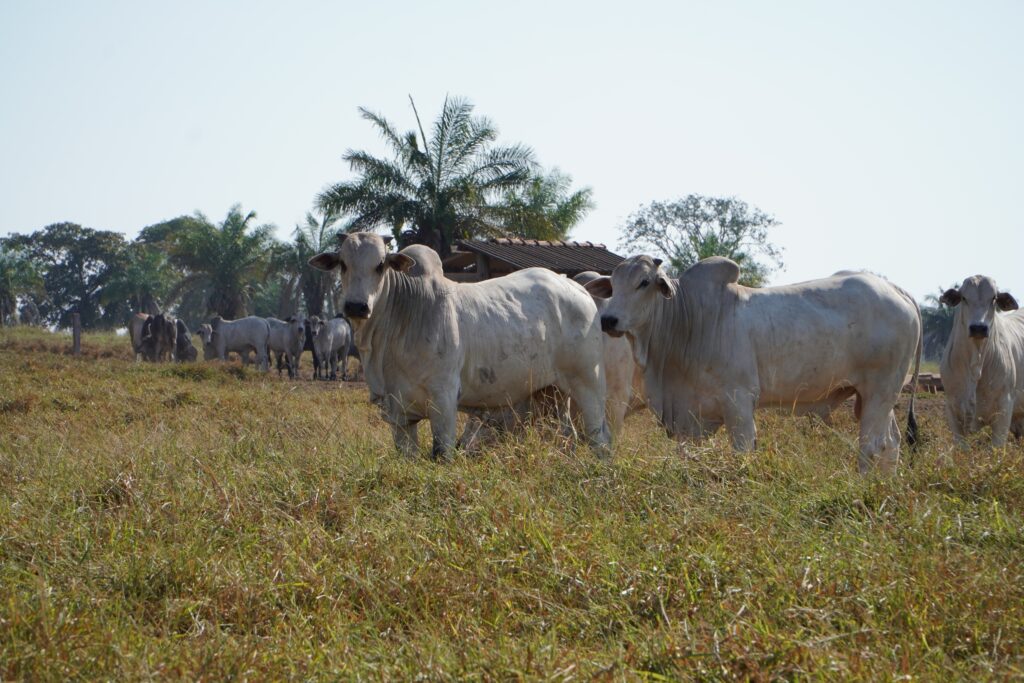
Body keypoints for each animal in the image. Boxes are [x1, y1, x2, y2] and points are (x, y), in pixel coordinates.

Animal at [307, 232, 610, 462]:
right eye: (343, 264)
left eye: (380, 264)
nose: (356, 306)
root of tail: (578, 289)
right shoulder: (400, 415)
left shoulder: (444, 399)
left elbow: (442, 453)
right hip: (550, 392)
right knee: (567, 435)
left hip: (588, 383)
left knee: (600, 437)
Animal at [589, 253, 925, 473]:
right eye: (614, 284)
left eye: (644, 282)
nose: (608, 320)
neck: (688, 319)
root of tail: (896, 290)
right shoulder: (690, 415)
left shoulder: (738, 402)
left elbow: (741, 452)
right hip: (875, 399)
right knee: (891, 443)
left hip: (879, 392)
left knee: (872, 445)